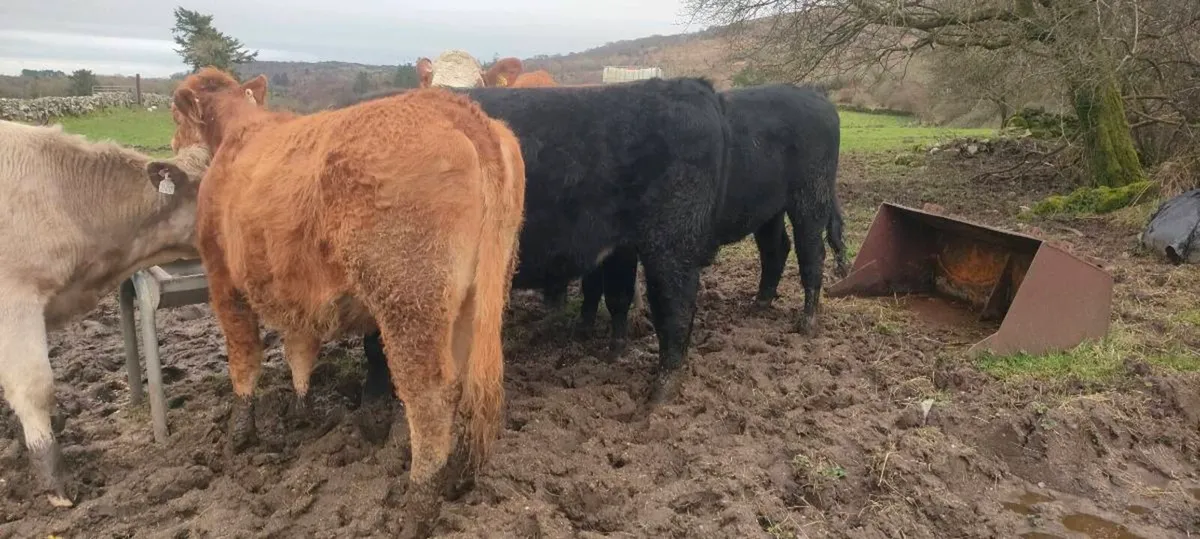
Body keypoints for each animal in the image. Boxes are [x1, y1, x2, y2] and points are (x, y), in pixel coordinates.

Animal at [165, 67, 526, 538]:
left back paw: (417, 511)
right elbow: (299, 348)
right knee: (469, 386)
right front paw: (301, 410)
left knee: (430, 399)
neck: (237, 133)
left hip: (410, 301)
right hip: (475, 297)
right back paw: (457, 479)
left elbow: (243, 357)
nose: (172, 143)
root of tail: (456, 109)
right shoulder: (294, 286)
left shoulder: (223, 278)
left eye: (175, 115)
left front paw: (238, 436)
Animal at [567, 83, 849, 350]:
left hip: (811, 195)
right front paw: (581, 330)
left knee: (812, 253)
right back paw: (758, 305)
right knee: (776, 248)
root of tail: (820, 99)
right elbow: (591, 286)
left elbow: (616, 291)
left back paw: (807, 324)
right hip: (770, 209)